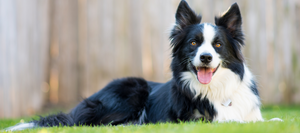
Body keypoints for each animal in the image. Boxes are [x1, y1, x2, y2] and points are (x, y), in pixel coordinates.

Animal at [7, 0, 264, 131]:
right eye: (194, 43)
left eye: (218, 45)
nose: (206, 58)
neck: (217, 90)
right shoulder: (192, 120)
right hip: (133, 89)